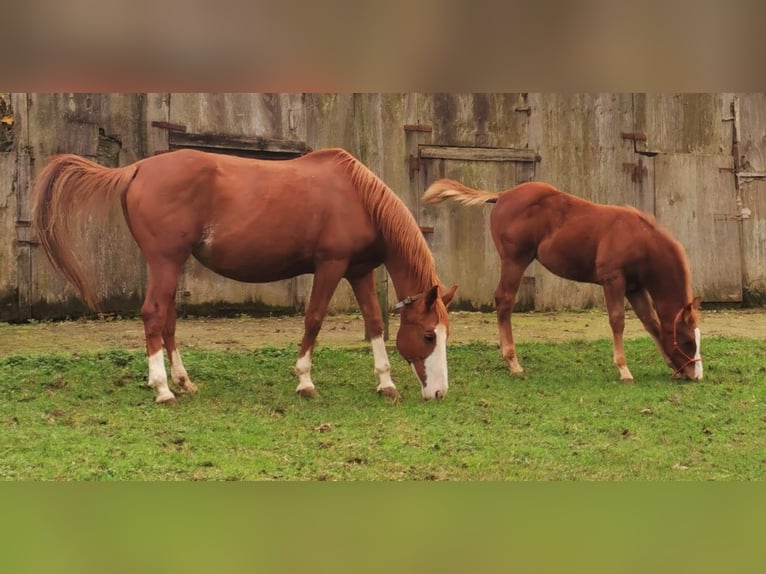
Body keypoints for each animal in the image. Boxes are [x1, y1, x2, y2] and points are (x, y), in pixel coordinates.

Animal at [33, 148, 456, 404]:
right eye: (428, 335)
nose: (439, 392)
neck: (357, 197)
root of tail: (137, 169)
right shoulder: (331, 266)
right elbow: (314, 319)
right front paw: (305, 381)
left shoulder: (359, 270)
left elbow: (374, 323)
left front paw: (385, 383)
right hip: (165, 261)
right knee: (153, 314)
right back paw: (162, 389)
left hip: (172, 265)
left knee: (167, 319)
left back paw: (183, 382)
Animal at [424, 176, 704, 382]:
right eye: (687, 341)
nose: (695, 375)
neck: (639, 238)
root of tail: (502, 195)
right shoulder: (613, 280)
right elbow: (617, 321)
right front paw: (624, 369)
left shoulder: (634, 287)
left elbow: (650, 322)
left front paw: (669, 363)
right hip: (515, 260)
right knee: (504, 300)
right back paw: (513, 362)